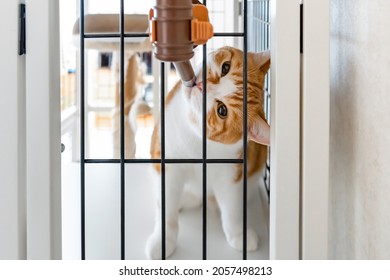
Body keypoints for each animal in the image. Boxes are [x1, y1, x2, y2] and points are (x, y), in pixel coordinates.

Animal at [145, 46, 270, 260]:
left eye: (222, 110)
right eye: (225, 68)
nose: (202, 86)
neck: (195, 140)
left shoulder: (231, 175)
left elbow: (232, 209)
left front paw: (239, 235)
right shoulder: (168, 166)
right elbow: (166, 210)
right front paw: (163, 240)